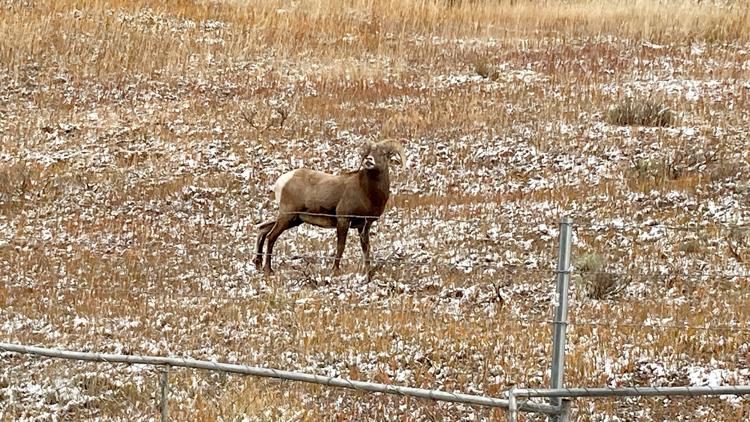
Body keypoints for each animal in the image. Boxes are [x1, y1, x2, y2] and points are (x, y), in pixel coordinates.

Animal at [254, 138, 408, 276]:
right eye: (369, 152)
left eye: (383, 153)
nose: (369, 160)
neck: (367, 192)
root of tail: (282, 181)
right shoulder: (343, 220)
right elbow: (341, 246)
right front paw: (335, 271)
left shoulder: (364, 225)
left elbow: (366, 248)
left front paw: (367, 273)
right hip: (287, 216)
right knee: (271, 236)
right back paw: (268, 270)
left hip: (294, 219)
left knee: (263, 229)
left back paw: (258, 264)